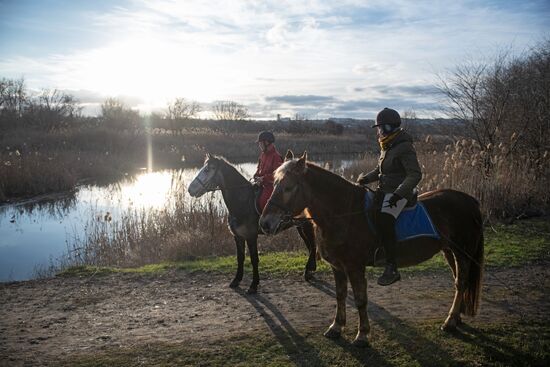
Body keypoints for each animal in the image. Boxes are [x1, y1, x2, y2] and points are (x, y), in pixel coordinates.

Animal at [260, 152, 486, 348]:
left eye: (288, 187)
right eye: (275, 184)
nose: (265, 223)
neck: (345, 214)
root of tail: (470, 200)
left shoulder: (354, 267)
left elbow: (360, 300)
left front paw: (362, 335)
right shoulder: (338, 267)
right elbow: (340, 295)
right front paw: (336, 327)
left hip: (463, 252)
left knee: (461, 283)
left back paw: (450, 321)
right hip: (450, 251)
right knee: (460, 281)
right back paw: (457, 318)